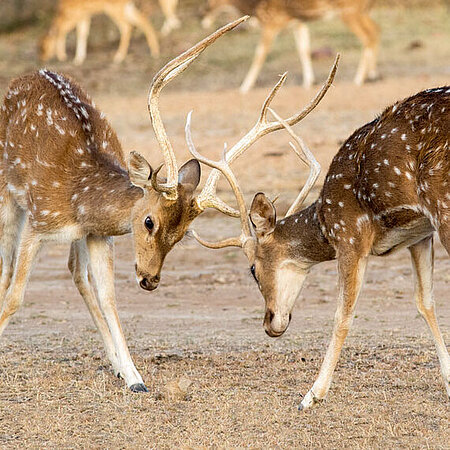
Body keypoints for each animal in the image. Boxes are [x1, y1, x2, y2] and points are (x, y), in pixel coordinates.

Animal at [0, 17, 250, 390]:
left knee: (76, 273)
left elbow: (109, 299)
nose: (150, 279)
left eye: (181, 236)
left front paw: (134, 377)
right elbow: (16, 294)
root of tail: (27, 74)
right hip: (8, 193)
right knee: (6, 267)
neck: (81, 201)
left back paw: (118, 366)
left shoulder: (96, 234)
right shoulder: (39, 220)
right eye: (149, 221)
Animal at [38, 0, 178, 64]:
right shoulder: (84, 16)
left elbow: (63, 32)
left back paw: (119, 56)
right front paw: (78, 58)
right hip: (126, 7)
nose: (42, 59)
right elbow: (83, 34)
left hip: (114, 8)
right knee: (143, 21)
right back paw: (155, 51)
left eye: (44, 47)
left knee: (127, 27)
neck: (61, 11)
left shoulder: (76, 16)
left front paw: (63, 56)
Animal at [185, 66, 448, 408]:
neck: (324, 220)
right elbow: (425, 302)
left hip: (443, 204)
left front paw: (312, 394)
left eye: (252, 269)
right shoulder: (418, 235)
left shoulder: (350, 237)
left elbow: (342, 315)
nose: (269, 323)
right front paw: (448, 381)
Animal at [202, 0, 378, 92]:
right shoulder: (298, 23)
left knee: (369, 36)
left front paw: (245, 86)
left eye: (210, 2)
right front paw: (309, 82)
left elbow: (260, 53)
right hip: (362, 12)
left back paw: (359, 78)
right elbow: (303, 49)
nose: (201, 15)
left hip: (350, 12)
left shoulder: (273, 22)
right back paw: (372, 74)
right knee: (376, 32)